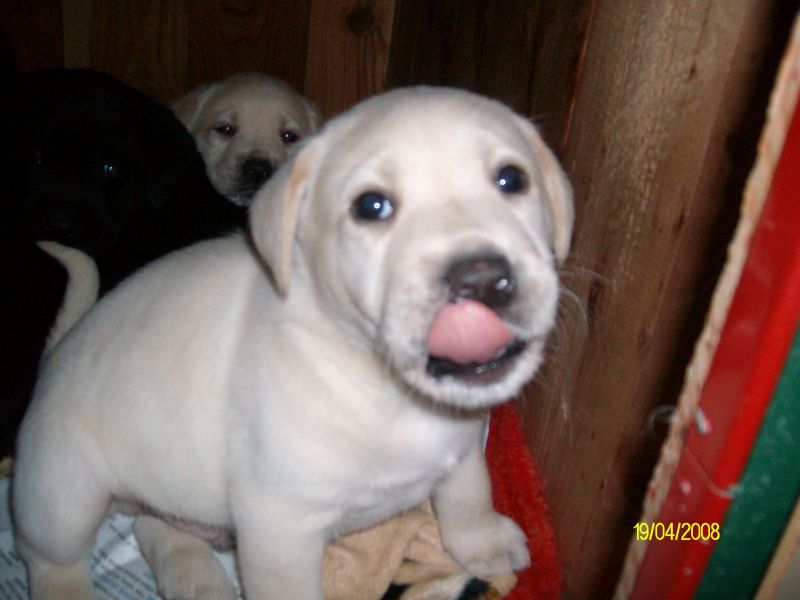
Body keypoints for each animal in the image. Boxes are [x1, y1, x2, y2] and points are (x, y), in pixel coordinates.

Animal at [14, 86, 576, 596]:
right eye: (371, 206)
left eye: (512, 179)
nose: (481, 279)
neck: (379, 386)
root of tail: (56, 356)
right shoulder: (280, 523)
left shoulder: (462, 436)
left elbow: (470, 485)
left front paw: (482, 540)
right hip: (62, 493)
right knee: (52, 557)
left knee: (155, 525)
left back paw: (200, 581)